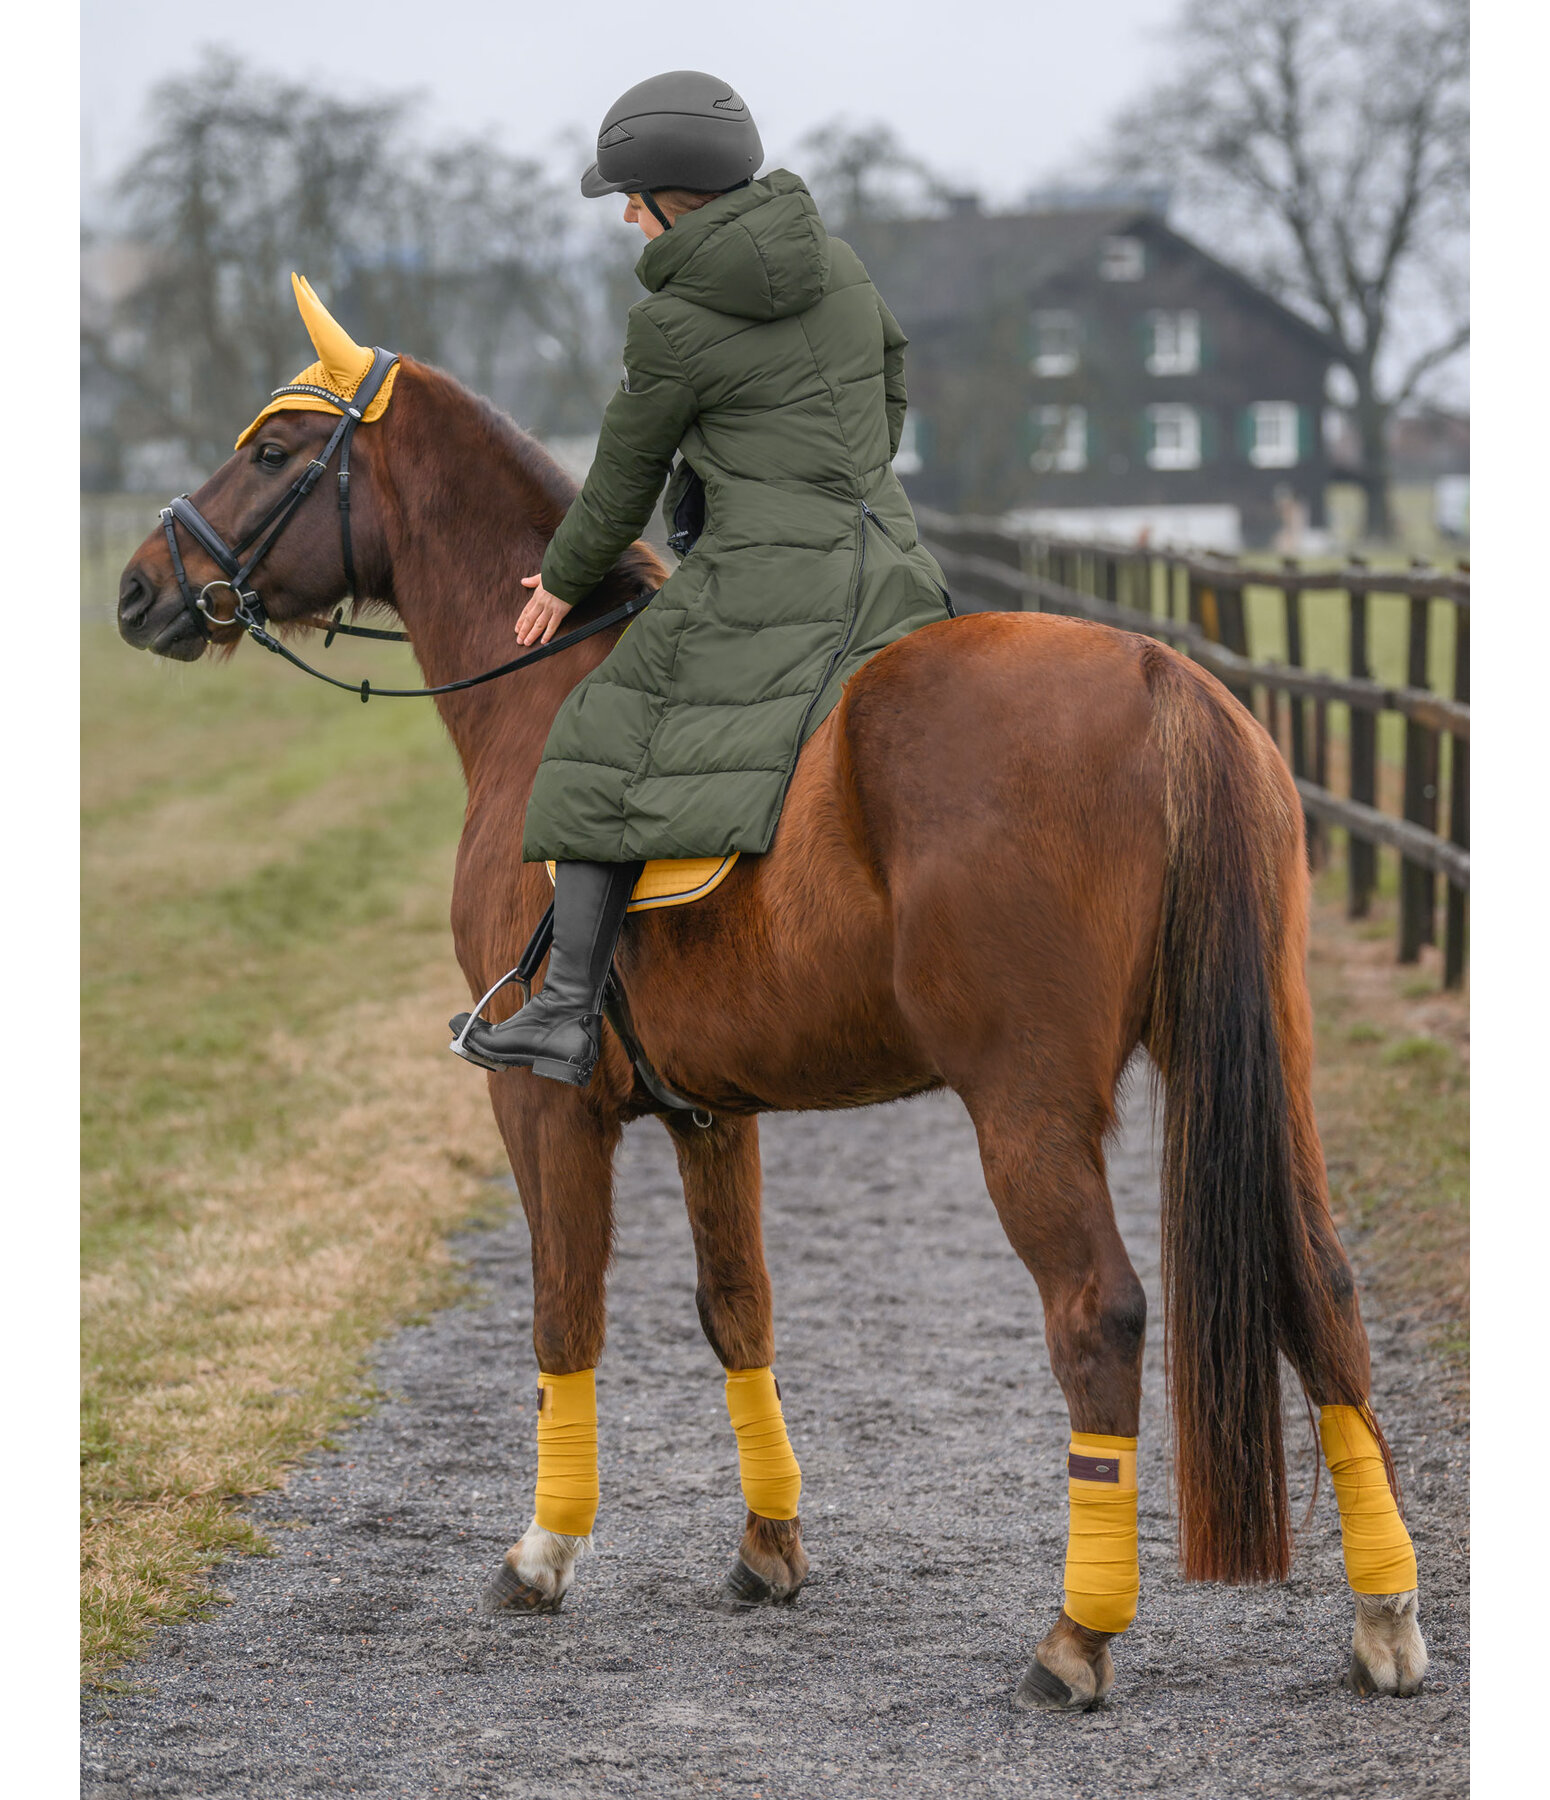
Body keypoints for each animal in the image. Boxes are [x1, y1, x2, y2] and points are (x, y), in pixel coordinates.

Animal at [117, 358, 1425, 1706]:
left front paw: (542, 1551)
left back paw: (1075, 1635)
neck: (542, 692)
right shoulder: (711, 1112)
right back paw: (1383, 1615)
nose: (139, 587)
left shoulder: (541, 1103)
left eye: (273, 454)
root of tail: (1161, 680)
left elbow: (562, 1306)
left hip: (1024, 1110)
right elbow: (735, 1307)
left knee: (1097, 1317)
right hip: (1265, 1077)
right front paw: (767, 1546)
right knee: (1319, 1290)